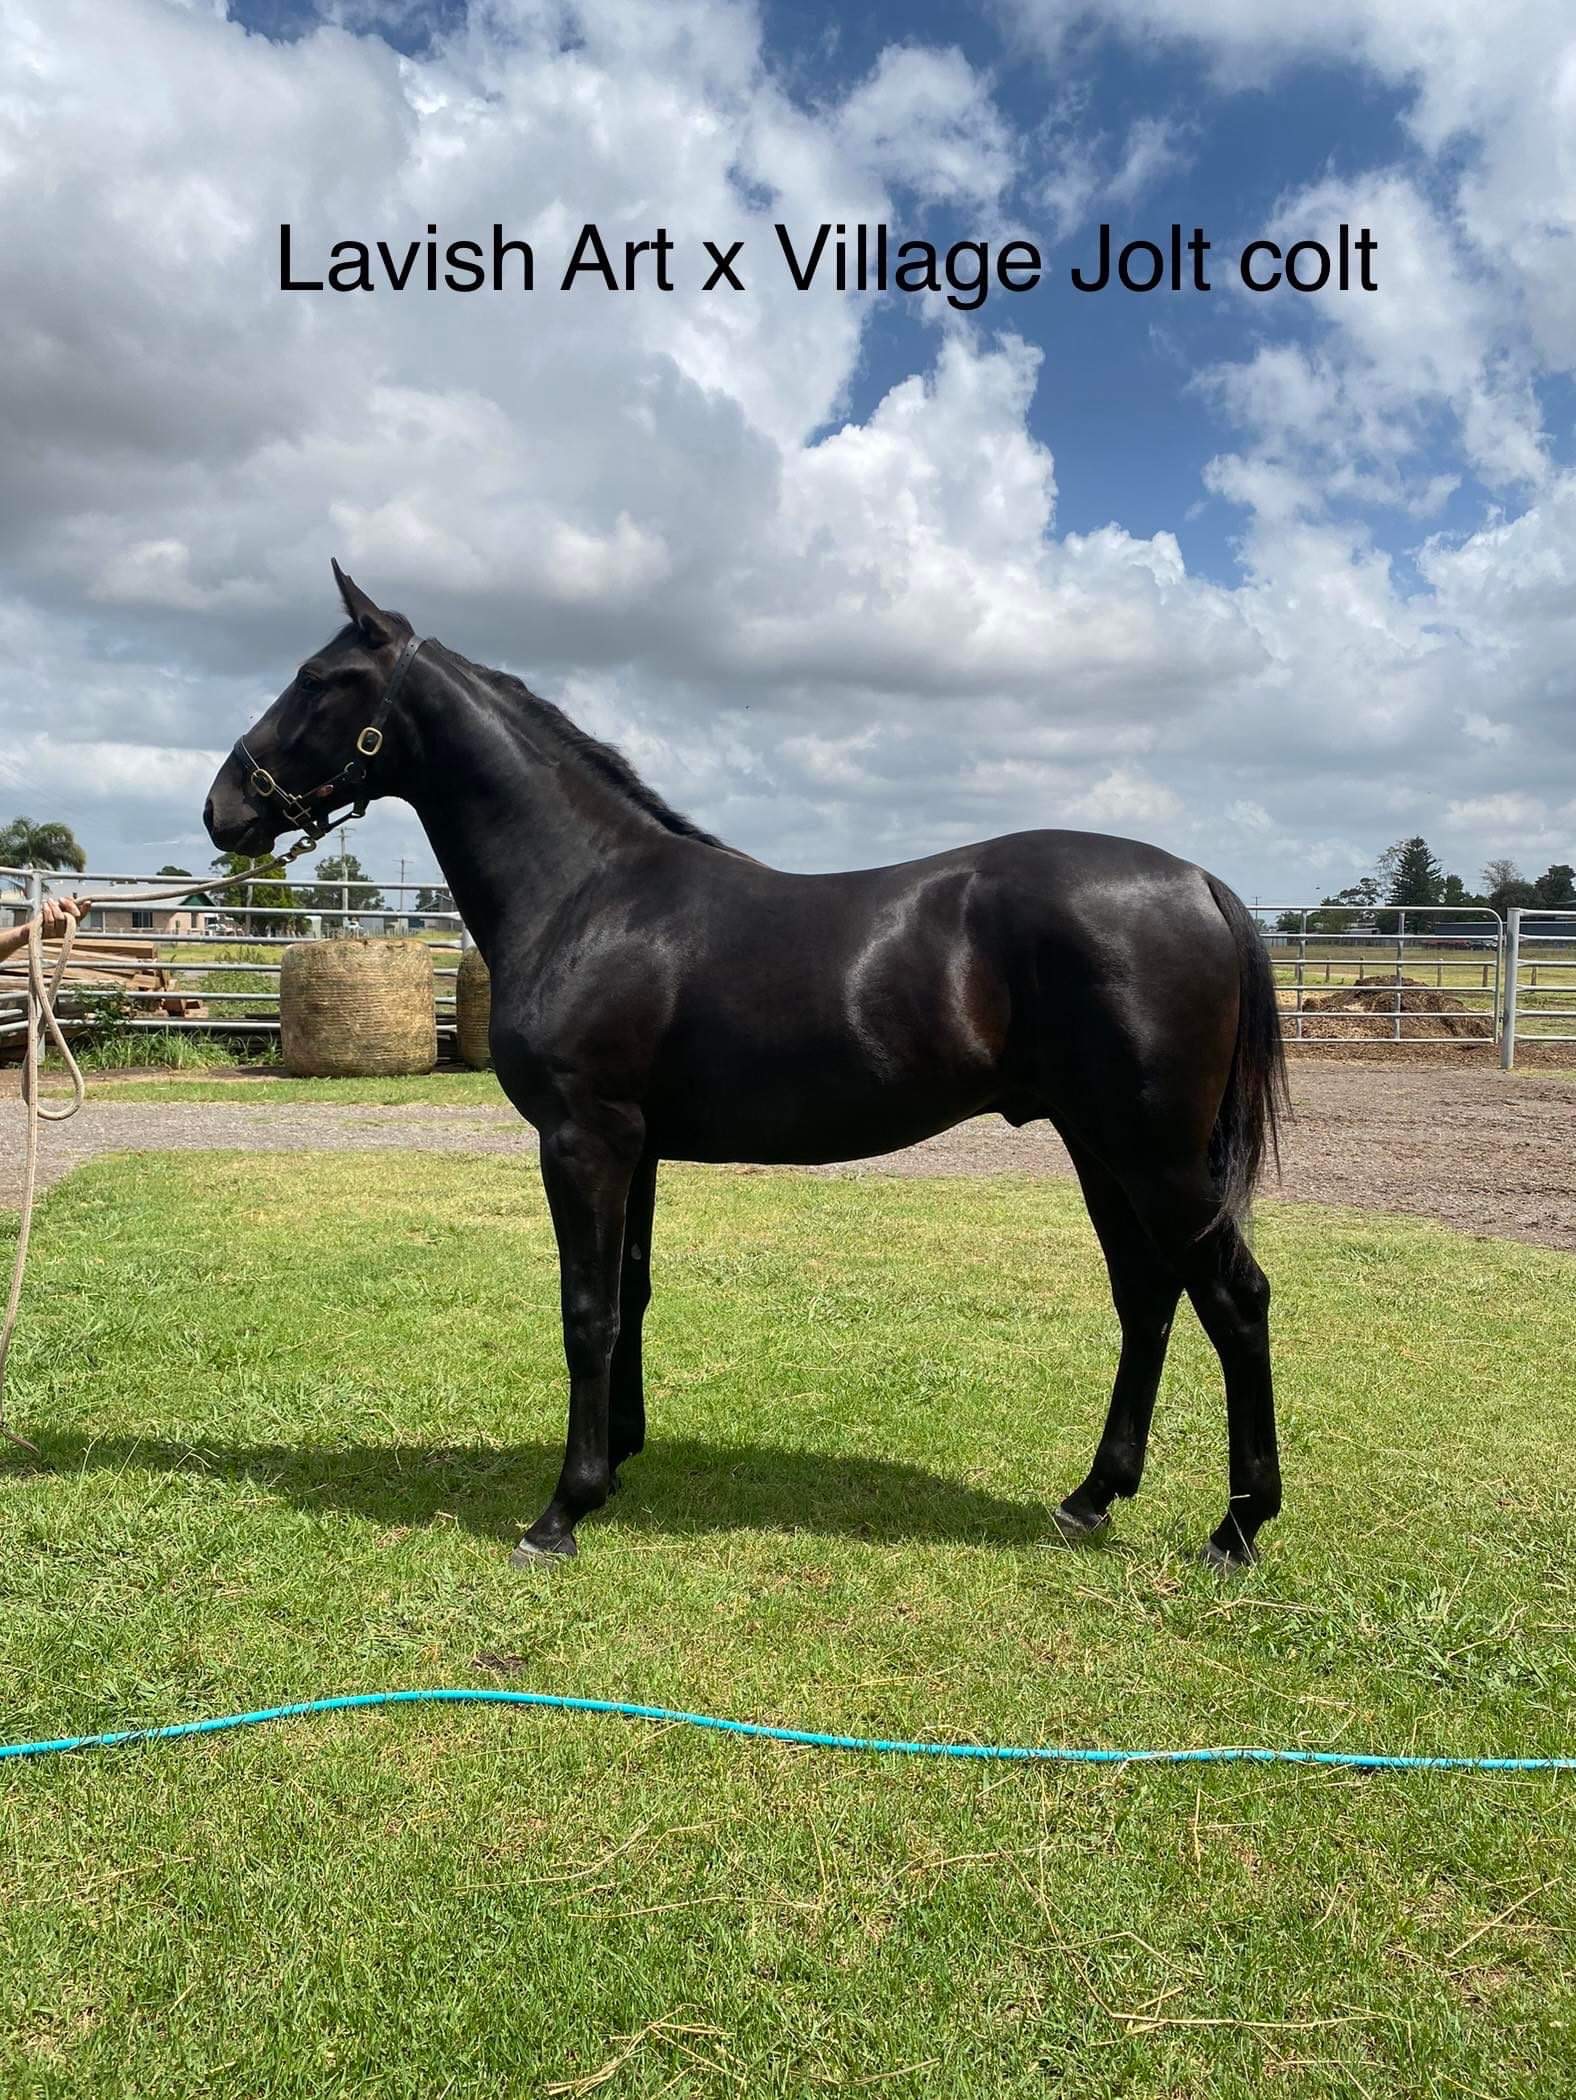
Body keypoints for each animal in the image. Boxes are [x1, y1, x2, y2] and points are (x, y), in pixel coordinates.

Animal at [205, 562, 1289, 1570]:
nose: (223, 809)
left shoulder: (583, 1137)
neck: (588, 894)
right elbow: (631, 1293)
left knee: (1233, 1299)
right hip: (1098, 1146)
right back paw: (1091, 1498)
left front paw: (561, 1513)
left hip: (1150, 1152)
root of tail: (1198, 881)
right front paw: (617, 1465)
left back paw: (1236, 1529)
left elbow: (586, 1309)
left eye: (318, 679)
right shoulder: (634, 1146)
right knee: (1146, 1296)